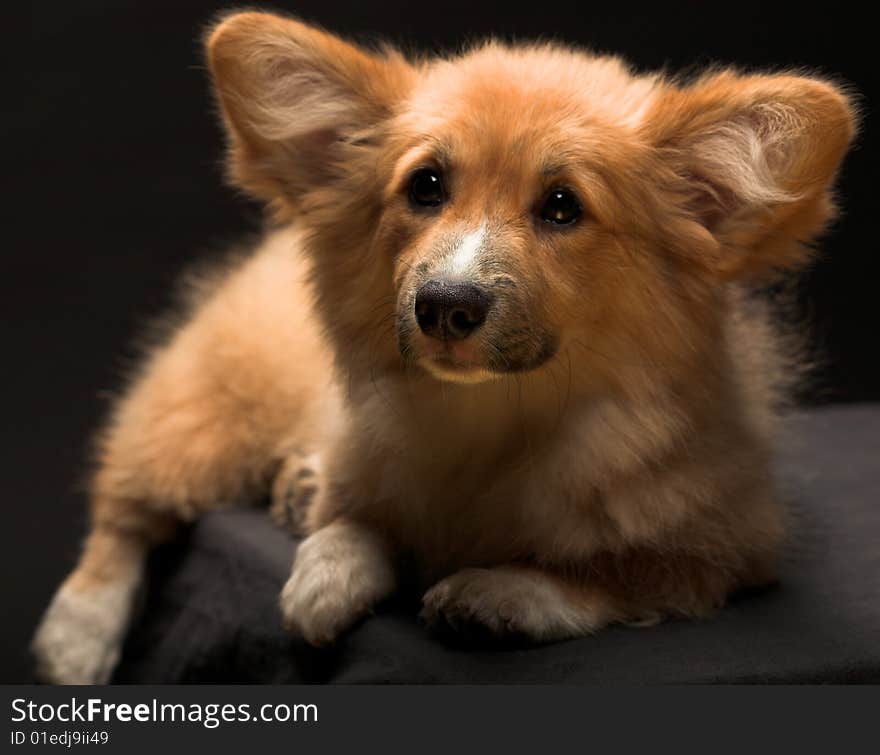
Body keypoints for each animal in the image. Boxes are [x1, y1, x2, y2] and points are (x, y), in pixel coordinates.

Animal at [31, 10, 856, 684]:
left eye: (563, 206)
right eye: (426, 186)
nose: (444, 304)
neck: (491, 419)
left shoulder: (726, 550)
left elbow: (615, 576)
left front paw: (499, 590)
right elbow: (356, 518)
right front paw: (325, 565)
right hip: (201, 418)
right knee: (126, 507)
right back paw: (77, 631)